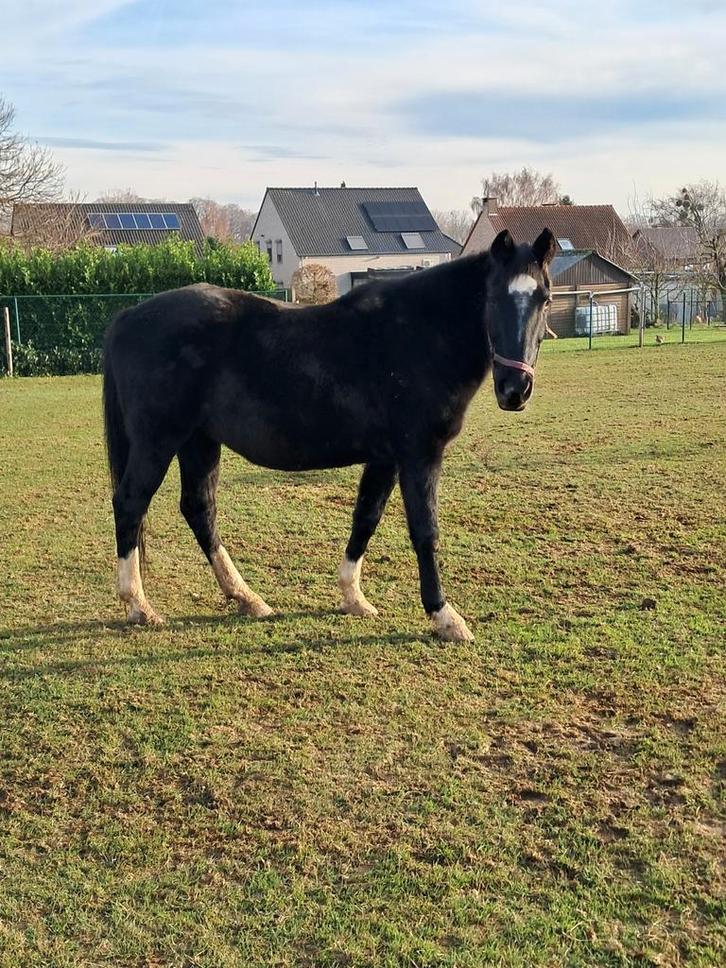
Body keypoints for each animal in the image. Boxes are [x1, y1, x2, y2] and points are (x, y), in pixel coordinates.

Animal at [103, 227, 556, 641]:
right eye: (493, 297)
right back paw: (139, 605)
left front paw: (353, 598)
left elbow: (366, 517)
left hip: (198, 442)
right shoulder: (419, 454)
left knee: (199, 509)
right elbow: (425, 531)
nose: (515, 389)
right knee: (130, 503)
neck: (419, 334)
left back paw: (246, 598)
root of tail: (127, 319)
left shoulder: (385, 458)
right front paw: (444, 616)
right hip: (158, 442)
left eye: (544, 298)